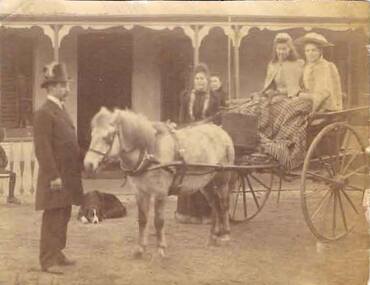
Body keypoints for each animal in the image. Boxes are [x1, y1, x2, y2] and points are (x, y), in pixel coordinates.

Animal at [84, 107, 234, 258]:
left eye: (107, 137)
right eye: (91, 135)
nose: (88, 164)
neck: (149, 153)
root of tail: (220, 130)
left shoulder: (160, 193)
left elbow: (158, 221)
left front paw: (160, 249)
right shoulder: (141, 193)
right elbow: (143, 219)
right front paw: (140, 248)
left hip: (223, 180)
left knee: (224, 205)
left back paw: (225, 235)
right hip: (206, 183)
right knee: (215, 205)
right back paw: (213, 236)